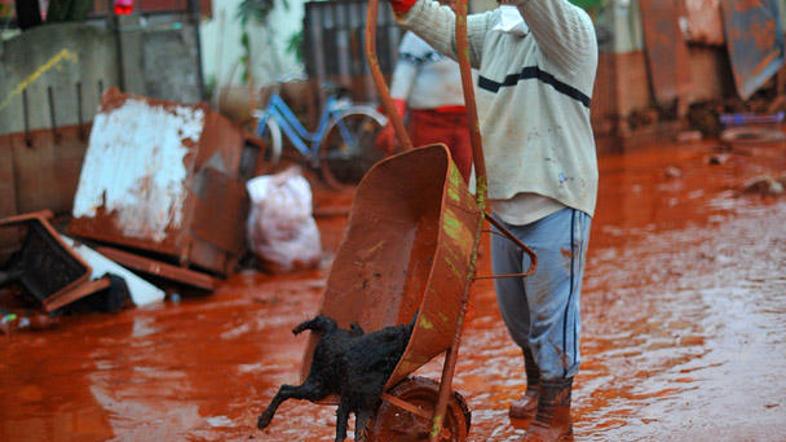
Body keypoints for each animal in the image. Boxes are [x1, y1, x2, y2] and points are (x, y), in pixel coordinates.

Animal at [258, 312, 416, 440]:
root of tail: (331, 332)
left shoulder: (363, 408)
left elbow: (358, 434)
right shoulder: (348, 404)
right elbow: (342, 434)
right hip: (316, 388)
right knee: (284, 389)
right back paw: (264, 420)